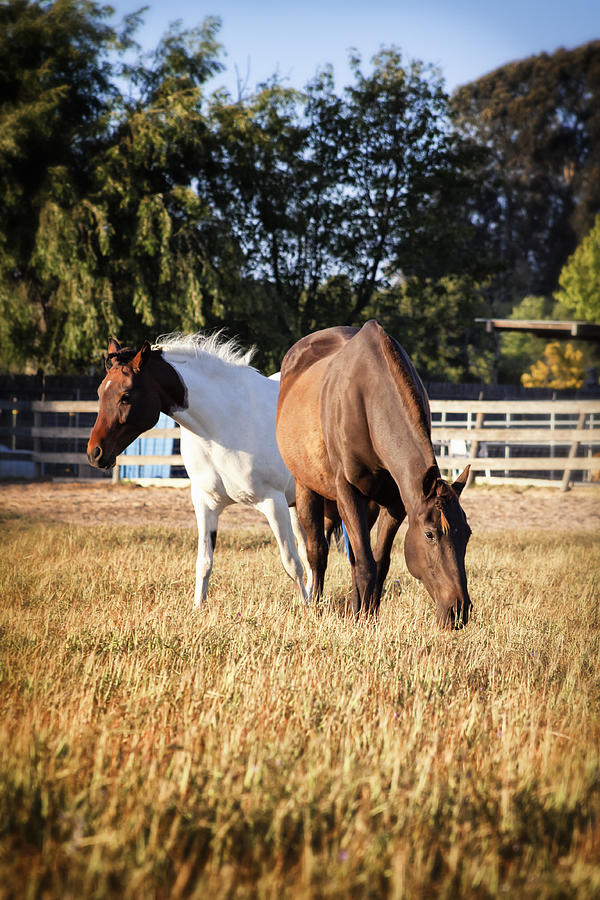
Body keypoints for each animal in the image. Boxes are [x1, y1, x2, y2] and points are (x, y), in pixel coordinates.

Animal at [88, 336, 310, 604]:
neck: (224, 424)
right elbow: (204, 564)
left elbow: (291, 563)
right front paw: (197, 608)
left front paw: (306, 609)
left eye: (125, 396)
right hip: (296, 505)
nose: (95, 453)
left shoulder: (273, 503)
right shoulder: (205, 504)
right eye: (100, 392)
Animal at [276, 322, 474, 624]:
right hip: (307, 487)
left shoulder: (395, 503)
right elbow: (365, 564)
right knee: (317, 551)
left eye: (467, 533)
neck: (369, 401)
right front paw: (360, 621)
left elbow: (378, 562)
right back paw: (315, 604)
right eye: (430, 534)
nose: (459, 609)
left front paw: (367, 614)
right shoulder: (348, 492)